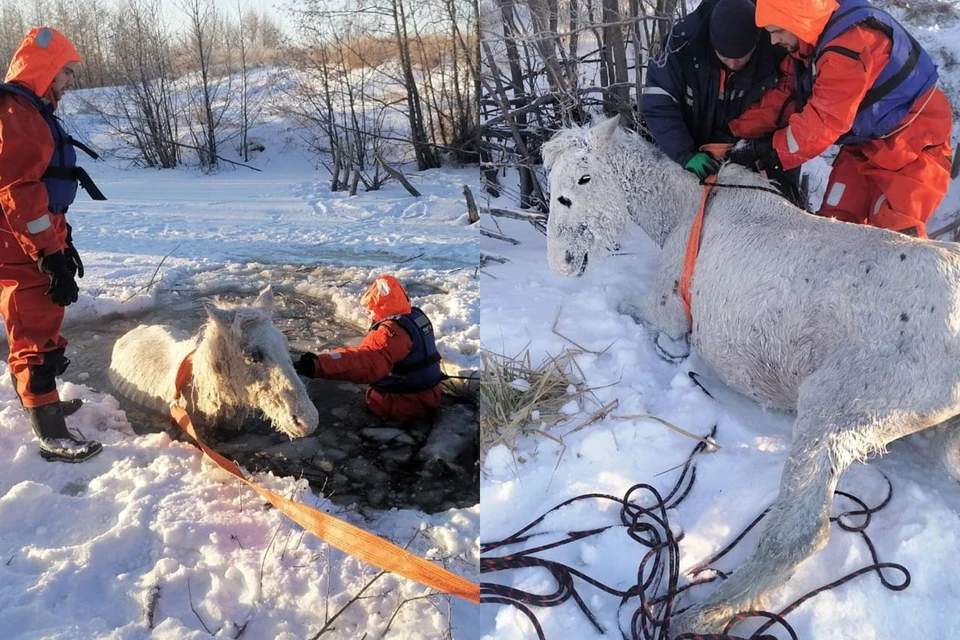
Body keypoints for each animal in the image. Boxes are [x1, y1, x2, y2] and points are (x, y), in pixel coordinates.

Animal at [544, 115, 960, 636]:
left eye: (581, 181)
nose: (560, 262)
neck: (681, 212)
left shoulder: (667, 316)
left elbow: (626, 307)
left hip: (834, 409)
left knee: (798, 533)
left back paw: (702, 613)